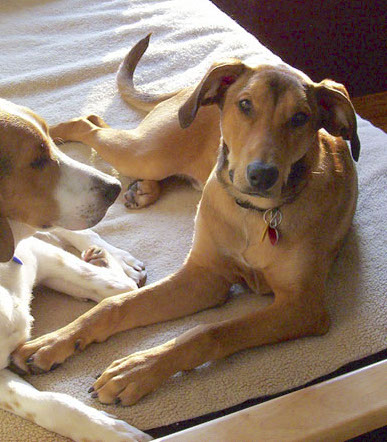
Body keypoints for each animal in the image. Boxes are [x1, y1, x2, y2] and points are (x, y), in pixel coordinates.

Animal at [13, 36, 362, 406]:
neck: (254, 214)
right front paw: (52, 342)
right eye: (245, 105)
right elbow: (115, 306)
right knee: (88, 123)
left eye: (300, 118)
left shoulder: (301, 305)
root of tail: (191, 90)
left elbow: (208, 331)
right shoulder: (204, 274)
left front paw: (134, 370)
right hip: (146, 151)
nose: (262, 175)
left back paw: (141, 189)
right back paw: (45, 134)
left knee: (100, 127)